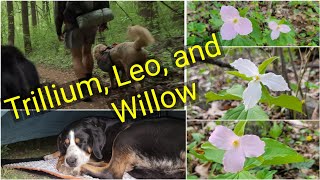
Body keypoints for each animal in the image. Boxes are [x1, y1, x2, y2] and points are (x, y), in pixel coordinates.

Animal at [43, 116, 186, 179]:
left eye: (82, 142)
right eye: (65, 143)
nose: (71, 161)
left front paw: (61, 162)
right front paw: (52, 155)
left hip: (126, 135)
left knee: (111, 172)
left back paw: (74, 170)